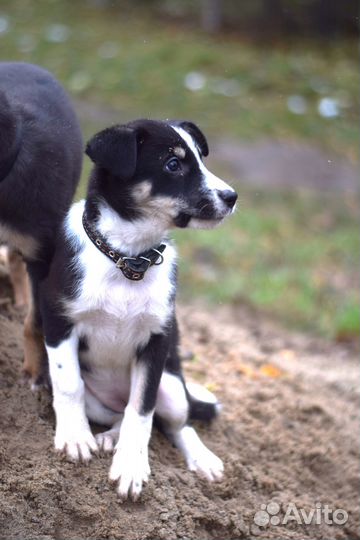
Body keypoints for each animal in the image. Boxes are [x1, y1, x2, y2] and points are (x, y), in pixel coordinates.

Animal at [39, 120, 238, 500]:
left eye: (201, 159)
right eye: (172, 164)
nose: (232, 197)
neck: (128, 258)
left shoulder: (157, 340)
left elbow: (142, 410)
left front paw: (131, 466)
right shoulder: (59, 321)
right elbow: (68, 383)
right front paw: (75, 439)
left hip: (172, 388)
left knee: (175, 423)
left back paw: (200, 459)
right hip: (99, 400)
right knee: (115, 412)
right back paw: (105, 437)